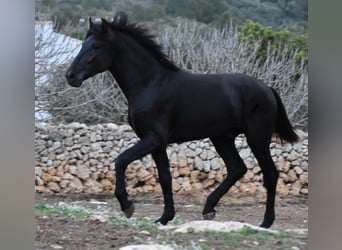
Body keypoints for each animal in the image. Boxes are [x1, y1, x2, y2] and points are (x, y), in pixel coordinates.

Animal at [65, 13, 298, 229]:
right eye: (83, 44)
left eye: (96, 46)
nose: (70, 75)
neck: (151, 83)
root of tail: (267, 89)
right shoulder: (156, 143)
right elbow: (165, 177)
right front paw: (164, 218)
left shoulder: (153, 139)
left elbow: (121, 160)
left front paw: (127, 205)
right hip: (222, 138)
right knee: (236, 168)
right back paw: (208, 209)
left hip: (257, 137)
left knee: (270, 174)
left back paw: (265, 222)